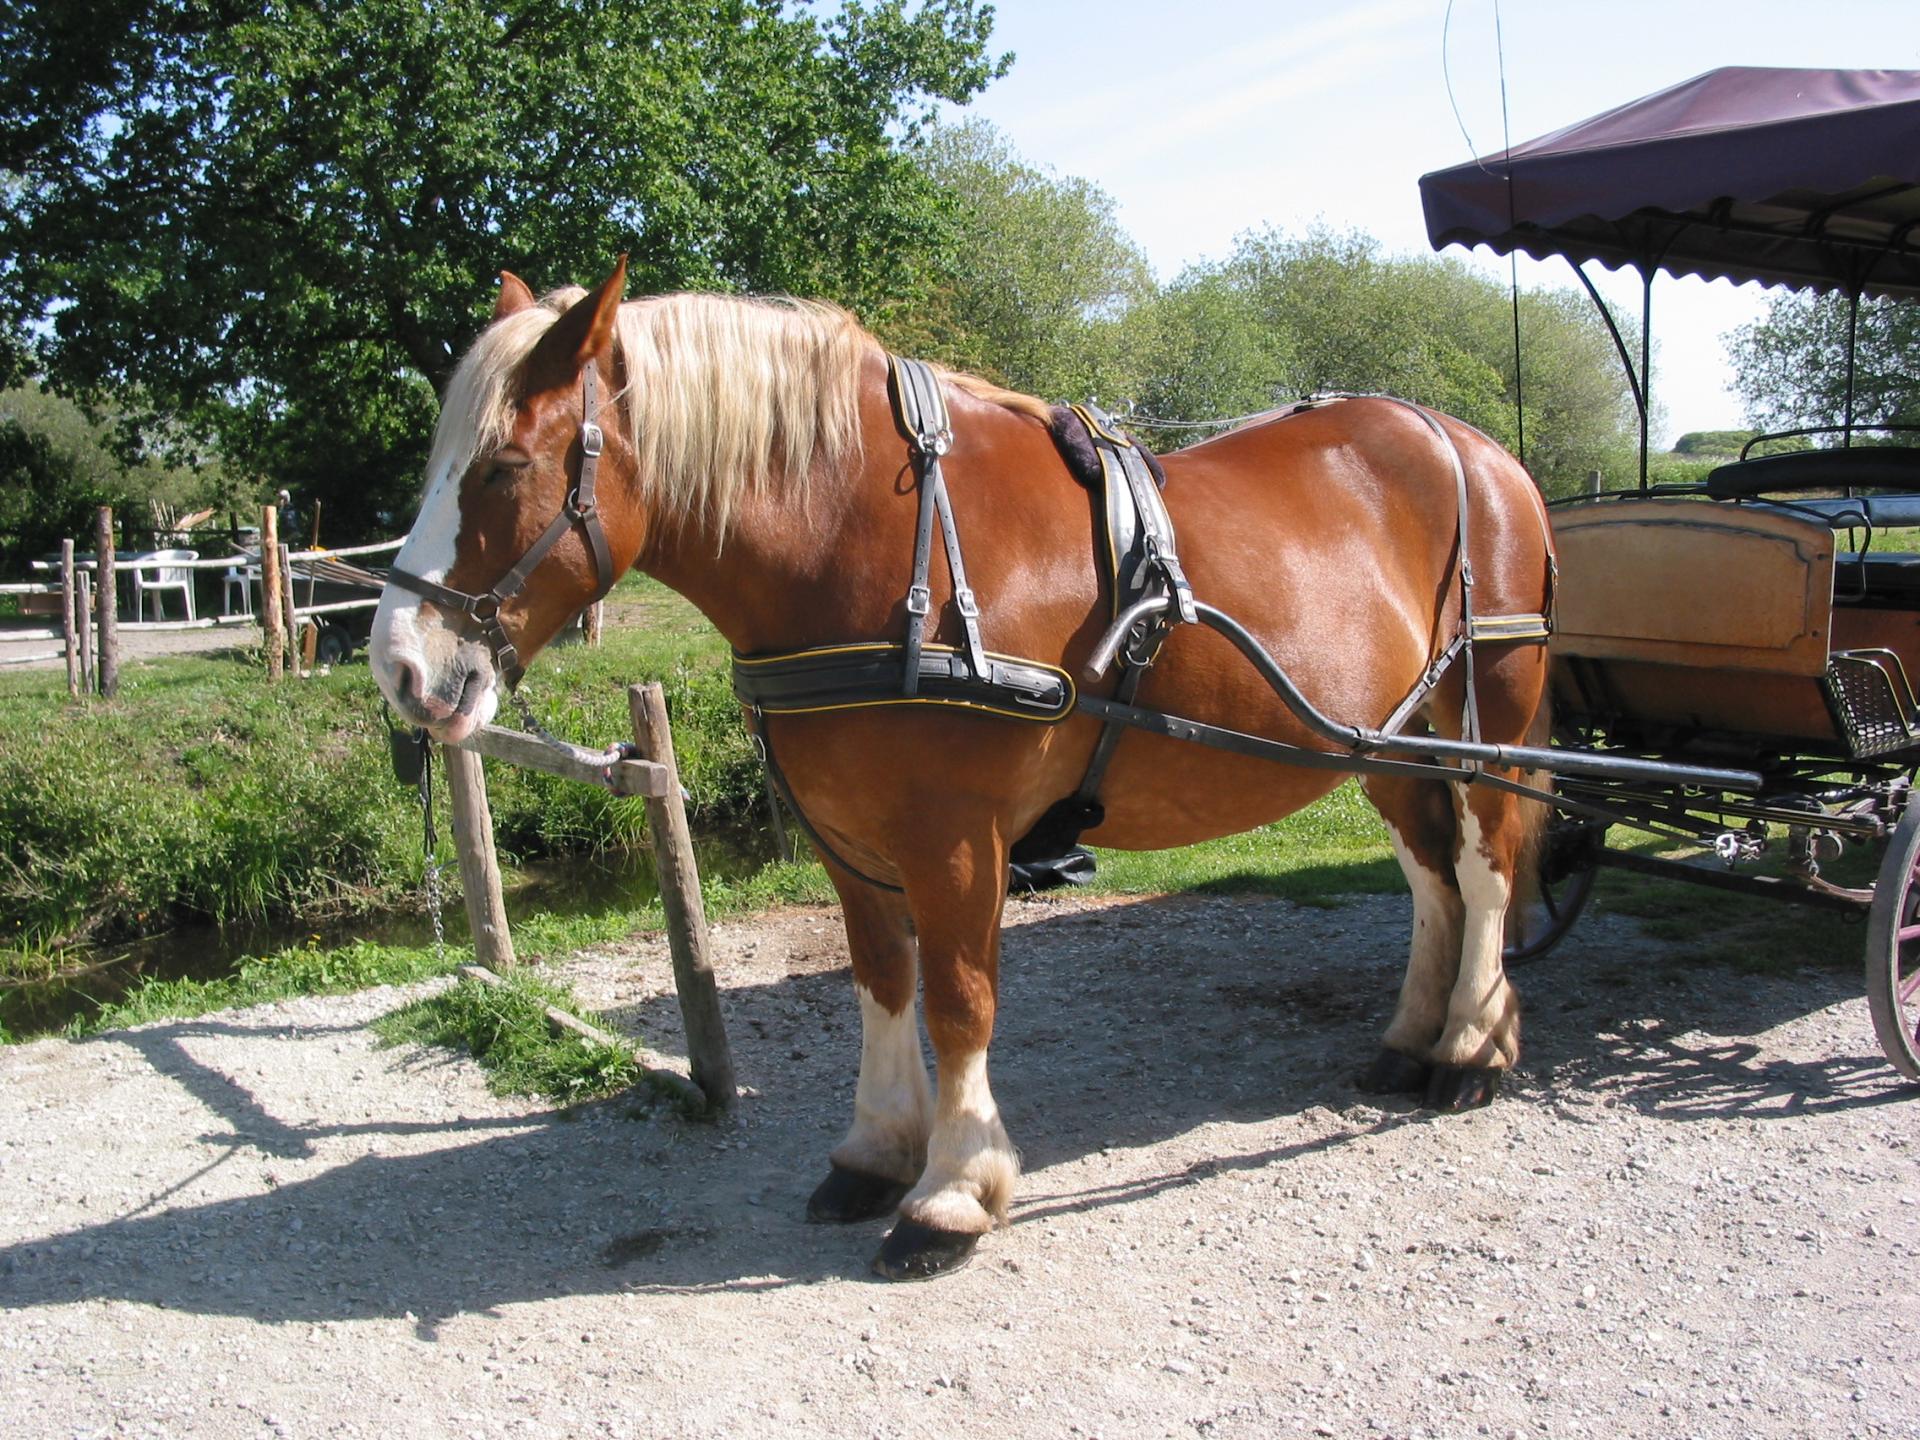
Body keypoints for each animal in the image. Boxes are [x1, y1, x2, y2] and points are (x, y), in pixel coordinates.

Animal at [370, 259, 1559, 1282]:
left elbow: (957, 1000)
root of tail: (1476, 447)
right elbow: (883, 982)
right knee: (1431, 874)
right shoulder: (848, 837)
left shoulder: (955, 838)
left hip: (1489, 721)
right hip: (1385, 742)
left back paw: (1473, 1046)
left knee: (1488, 865)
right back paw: (1413, 1035)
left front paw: (951, 1192)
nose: (399, 668)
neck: (870, 536)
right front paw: (875, 1151)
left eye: (504, 466)